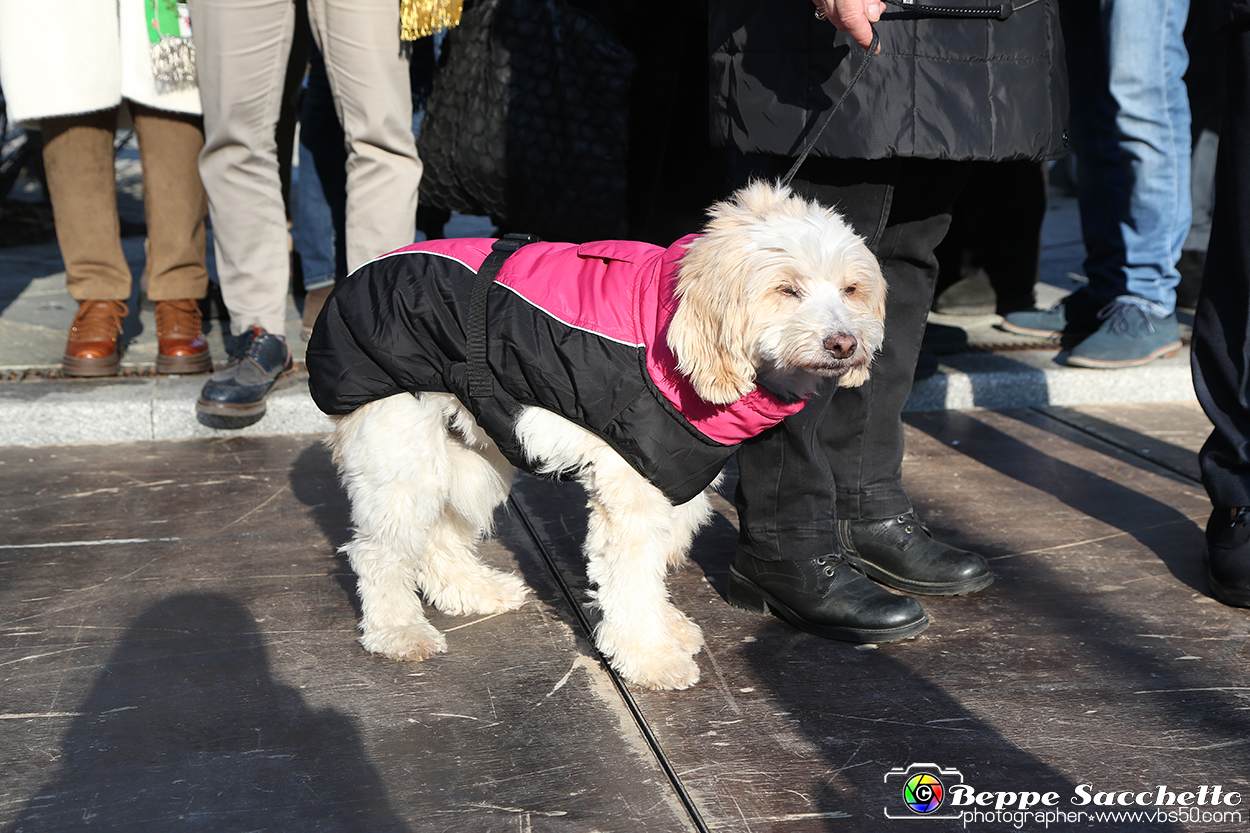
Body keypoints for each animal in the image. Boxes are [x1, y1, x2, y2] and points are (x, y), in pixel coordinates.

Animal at [306, 181, 885, 685]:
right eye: (787, 289)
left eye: (851, 289)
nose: (844, 343)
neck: (665, 326)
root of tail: (352, 282)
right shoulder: (633, 491)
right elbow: (631, 579)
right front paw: (650, 657)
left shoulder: (672, 480)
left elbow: (649, 574)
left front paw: (664, 628)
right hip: (402, 453)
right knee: (379, 551)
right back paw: (398, 630)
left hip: (471, 455)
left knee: (438, 537)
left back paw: (473, 591)